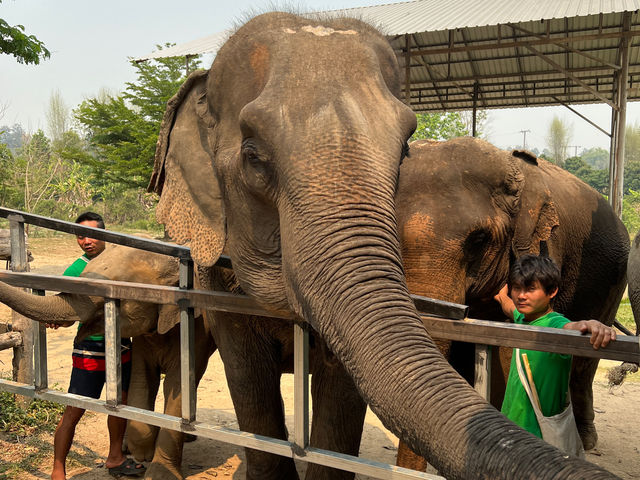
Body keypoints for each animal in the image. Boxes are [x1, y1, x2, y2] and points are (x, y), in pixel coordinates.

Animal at [0, 246, 218, 478]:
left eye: (105, 304)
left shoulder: (198, 330)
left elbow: (176, 387)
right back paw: (127, 449)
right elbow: (142, 380)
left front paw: (157, 470)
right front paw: (143, 452)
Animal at [392, 137, 628, 466]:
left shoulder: (545, 245)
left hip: (615, 280)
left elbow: (511, 347)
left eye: (479, 240)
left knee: (584, 365)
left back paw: (587, 440)